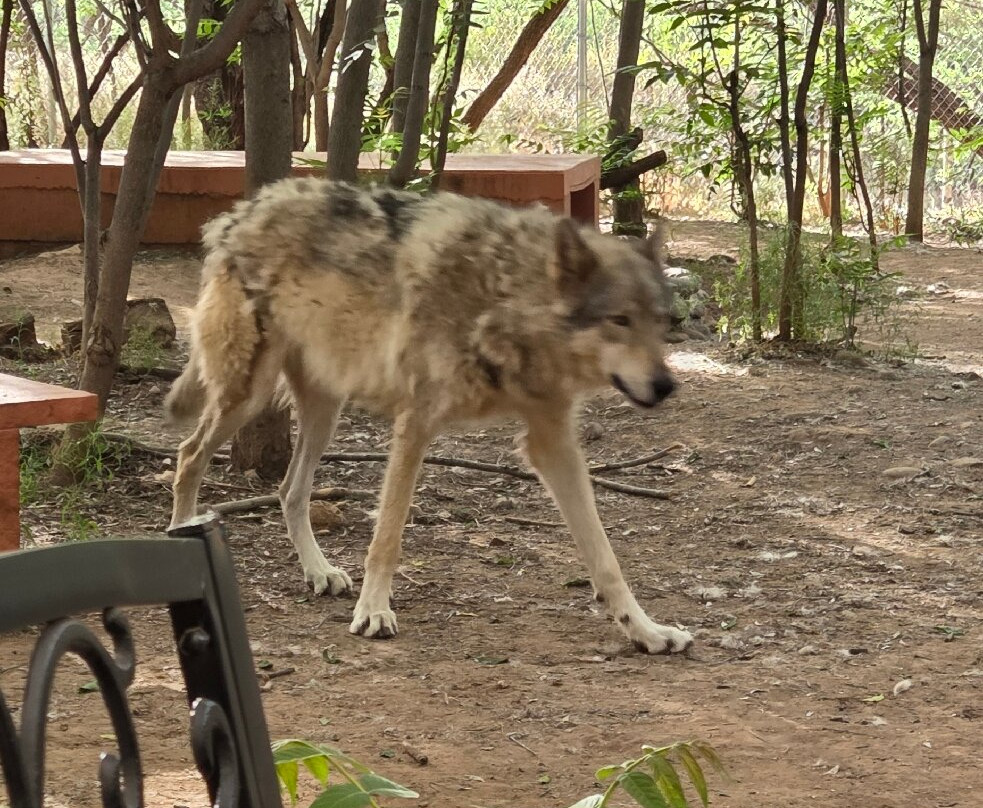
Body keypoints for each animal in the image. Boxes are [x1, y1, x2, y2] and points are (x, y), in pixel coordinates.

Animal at [166, 177, 692, 654]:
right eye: (619, 320)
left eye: (661, 322)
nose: (666, 386)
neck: (506, 296)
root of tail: (239, 211)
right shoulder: (416, 423)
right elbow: (388, 535)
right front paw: (374, 611)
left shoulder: (553, 441)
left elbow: (605, 557)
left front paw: (647, 631)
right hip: (247, 396)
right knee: (189, 455)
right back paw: (184, 541)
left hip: (325, 412)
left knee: (288, 491)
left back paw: (319, 571)